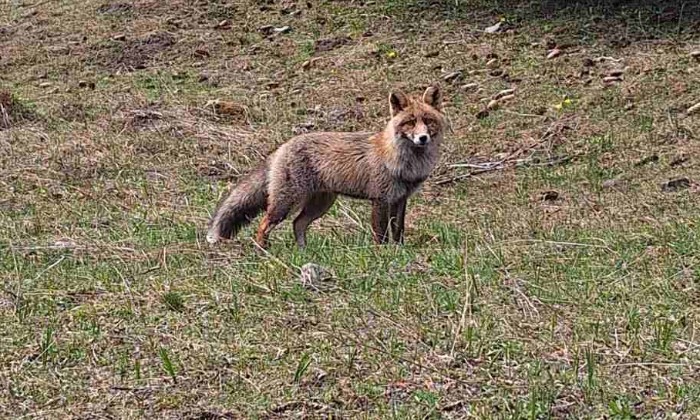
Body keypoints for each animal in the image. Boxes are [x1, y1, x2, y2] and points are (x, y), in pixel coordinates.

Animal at [206, 85, 446, 249]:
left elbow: (398, 231)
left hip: (320, 204)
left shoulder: (400, 199)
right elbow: (381, 233)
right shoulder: (381, 199)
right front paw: (383, 253)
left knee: (297, 224)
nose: (423, 138)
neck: (406, 162)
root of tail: (283, 146)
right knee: (264, 224)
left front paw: (398, 250)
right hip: (286, 202)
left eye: (428, 121)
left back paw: (303, 252)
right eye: (410, 122)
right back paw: (262, 250)